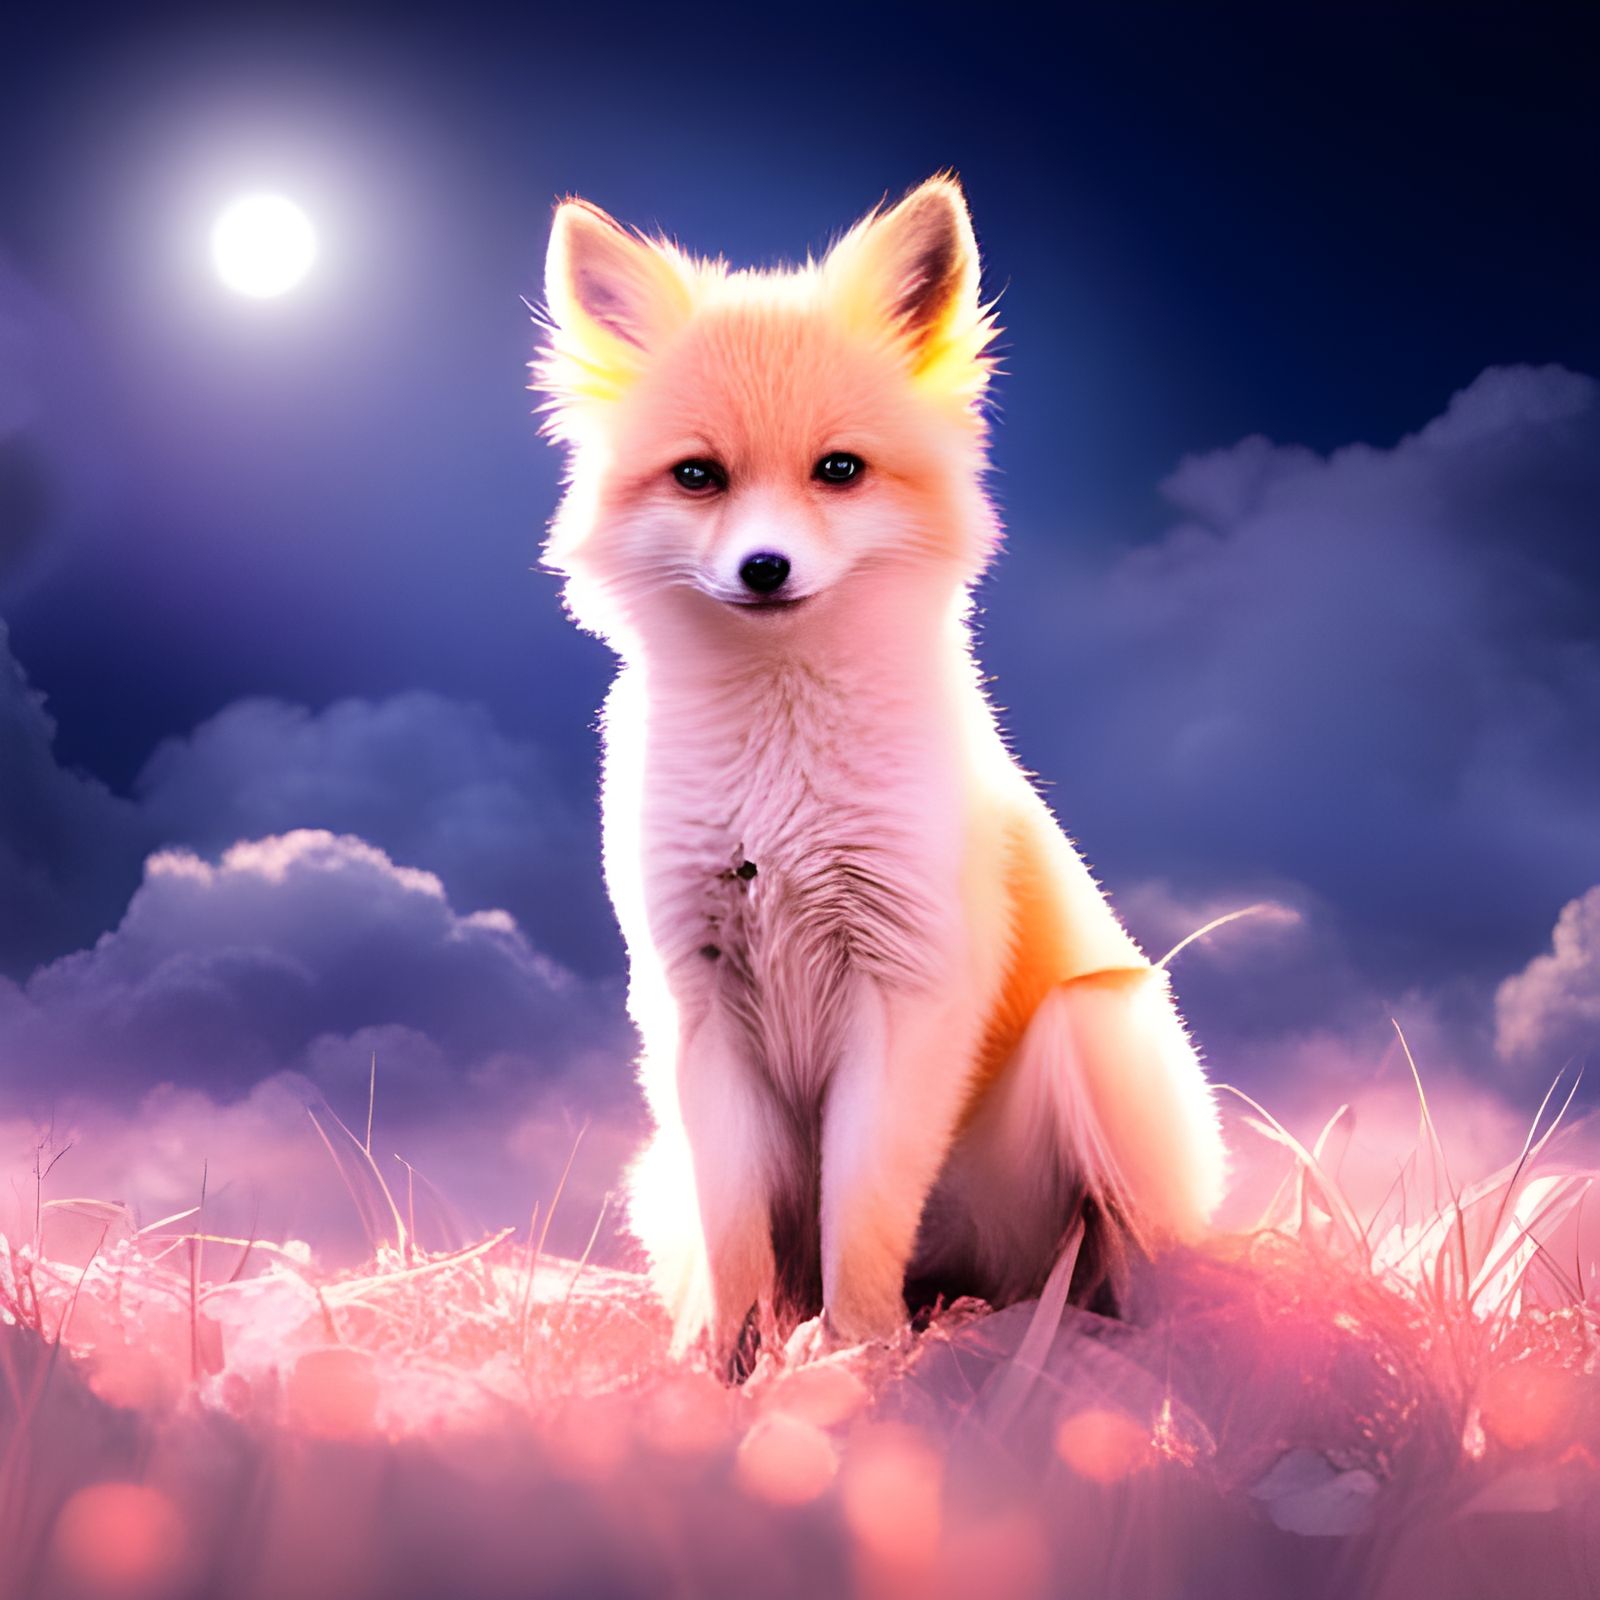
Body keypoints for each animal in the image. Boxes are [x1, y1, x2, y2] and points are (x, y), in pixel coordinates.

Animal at [531, 172, 1227, 1367]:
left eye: (839, 470)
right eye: (700, 476)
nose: (764, 567)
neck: (775, 799)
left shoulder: (906, 981)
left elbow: (859, 1205)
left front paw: (851, 1355)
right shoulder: (693, 998)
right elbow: (737, 1235)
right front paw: (721, 1370)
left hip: (1100, 1033)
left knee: (1107, 1258)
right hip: (657, 1167)